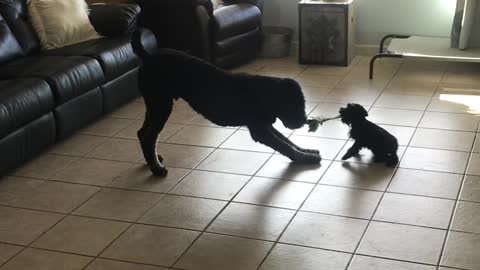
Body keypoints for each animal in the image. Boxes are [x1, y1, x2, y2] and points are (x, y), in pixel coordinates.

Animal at [132, 32, 318, 176]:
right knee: (150, 137)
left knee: (143, 133)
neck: (264, 93)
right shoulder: (260, 131)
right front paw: (306, 158)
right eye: (293, 105)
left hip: (154, 103)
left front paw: (306, 150)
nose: (303, 122)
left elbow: (288, 142)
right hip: (161, 105)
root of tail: (148, 56)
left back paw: (153, 159)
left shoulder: (265, 126)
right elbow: (285, 147)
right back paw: (156, 168)